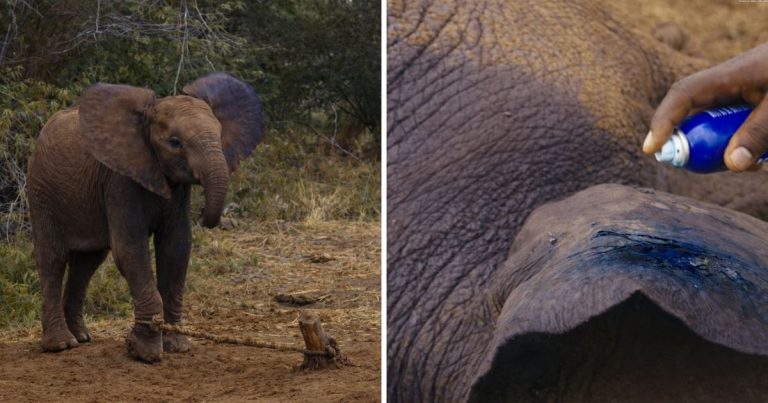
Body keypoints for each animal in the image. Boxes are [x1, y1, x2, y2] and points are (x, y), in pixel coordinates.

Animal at [26, 72, 263, 363]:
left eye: (220, 135)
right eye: (174, 143)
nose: (207, 218)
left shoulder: (176, 191)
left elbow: (176, 249)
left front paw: (177, 346)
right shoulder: (119, 181)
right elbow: (130, 250)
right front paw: (145, 353)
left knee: (87, 262)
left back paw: (82, 338)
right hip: (41, 191)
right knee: (53, 259)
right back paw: (61, 345)